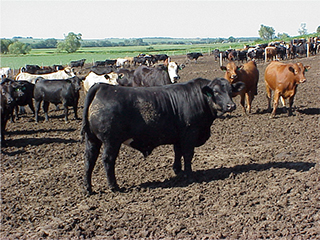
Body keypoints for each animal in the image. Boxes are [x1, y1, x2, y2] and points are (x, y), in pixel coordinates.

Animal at [80, 78, 245, 194]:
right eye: (216, 92)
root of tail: (102, 86)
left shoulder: (178, 136)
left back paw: (88, 188)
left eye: (230, 90)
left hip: (92, 140)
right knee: (108, 160)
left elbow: (178, 152)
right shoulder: (189, 134)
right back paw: (114, 186)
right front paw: (189, 175)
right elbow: (188, 154)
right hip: (111, 141)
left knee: (89, 160)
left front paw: (178, 170)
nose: (231, 106)